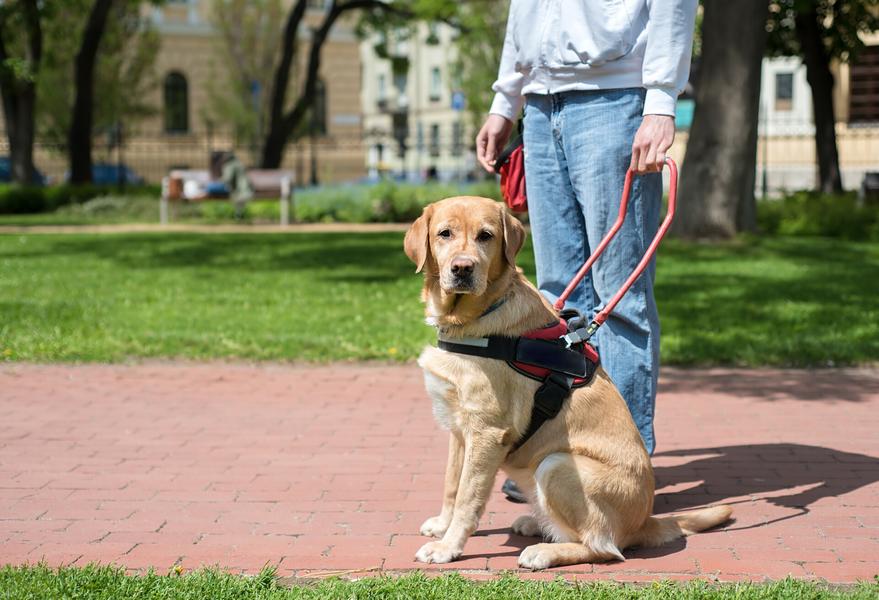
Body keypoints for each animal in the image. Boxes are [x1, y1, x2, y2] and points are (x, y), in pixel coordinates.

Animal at [408, 198, 736, 572]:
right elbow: (452, 483)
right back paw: (536, 524)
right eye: (445, 234)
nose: (462, 269)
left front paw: (449, 547)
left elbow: (468, 496)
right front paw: (441, 525)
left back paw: (544, 551)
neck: (473, 318)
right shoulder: (460, 429)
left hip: (558, 464)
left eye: (485, 236)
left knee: (604, 547)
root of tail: (643, 522)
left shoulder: (487, 433)